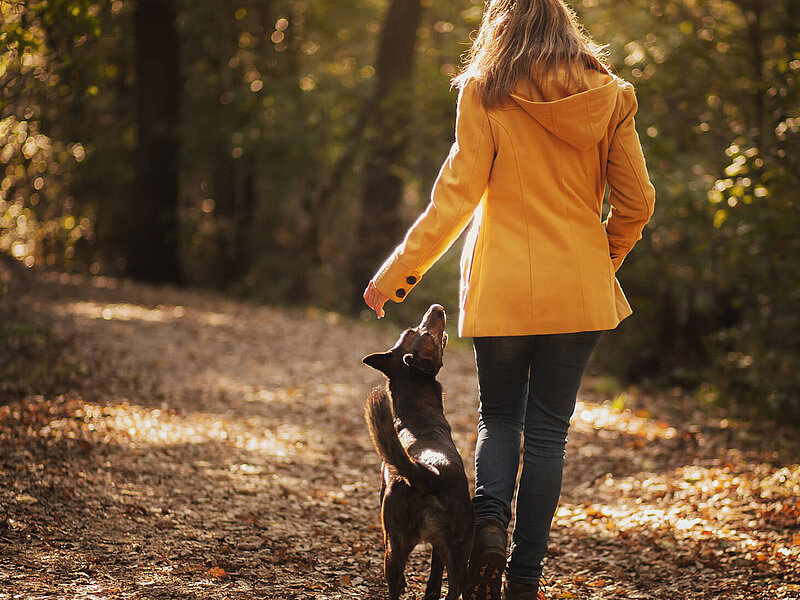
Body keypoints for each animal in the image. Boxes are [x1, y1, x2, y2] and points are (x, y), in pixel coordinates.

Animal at [362, 304, 476, 600]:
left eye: (412, 330)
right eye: (427, 335)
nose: (437, 307)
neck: (415, 413)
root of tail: (428, 474)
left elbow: (432, 583)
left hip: (397, 545)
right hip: (457, 546)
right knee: (454, 589)